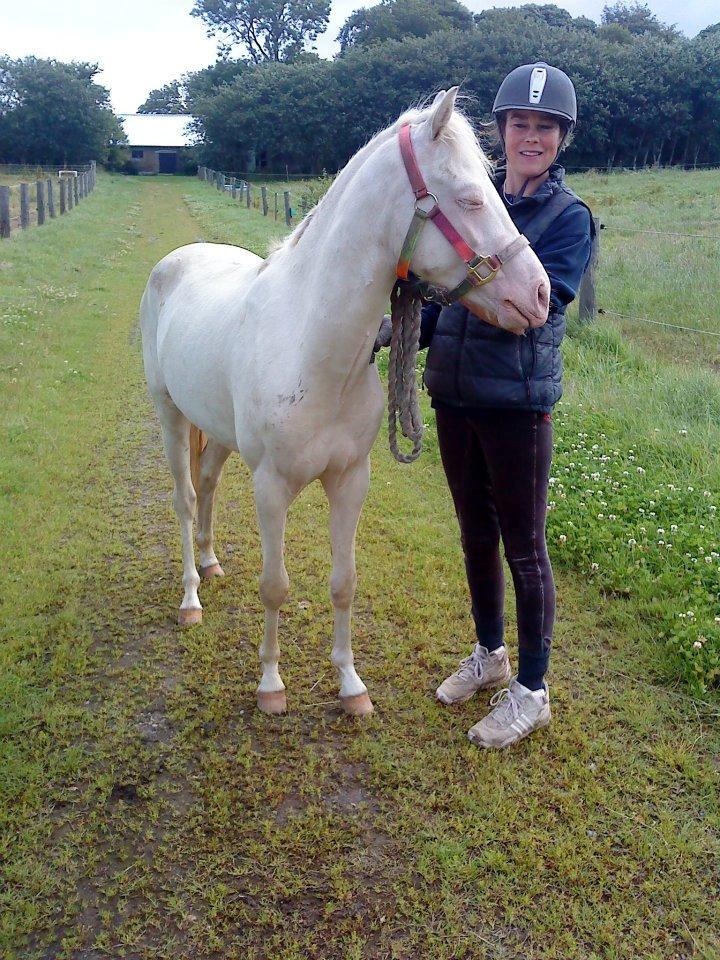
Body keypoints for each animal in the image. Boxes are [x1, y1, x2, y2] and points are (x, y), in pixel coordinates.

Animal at [139, 90, 544, 716]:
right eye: (471, 198)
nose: (540, 294)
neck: (313, 346)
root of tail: (177, 261)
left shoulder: (351, 478)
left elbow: (344, 582)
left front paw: (351, 686)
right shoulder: (271, 486)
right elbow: (275, 586)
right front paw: (271, 685)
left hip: (217, 432)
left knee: (206, 485)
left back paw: (209, 563)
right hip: (170, 416)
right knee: (184, 499)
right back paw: (190, 597)